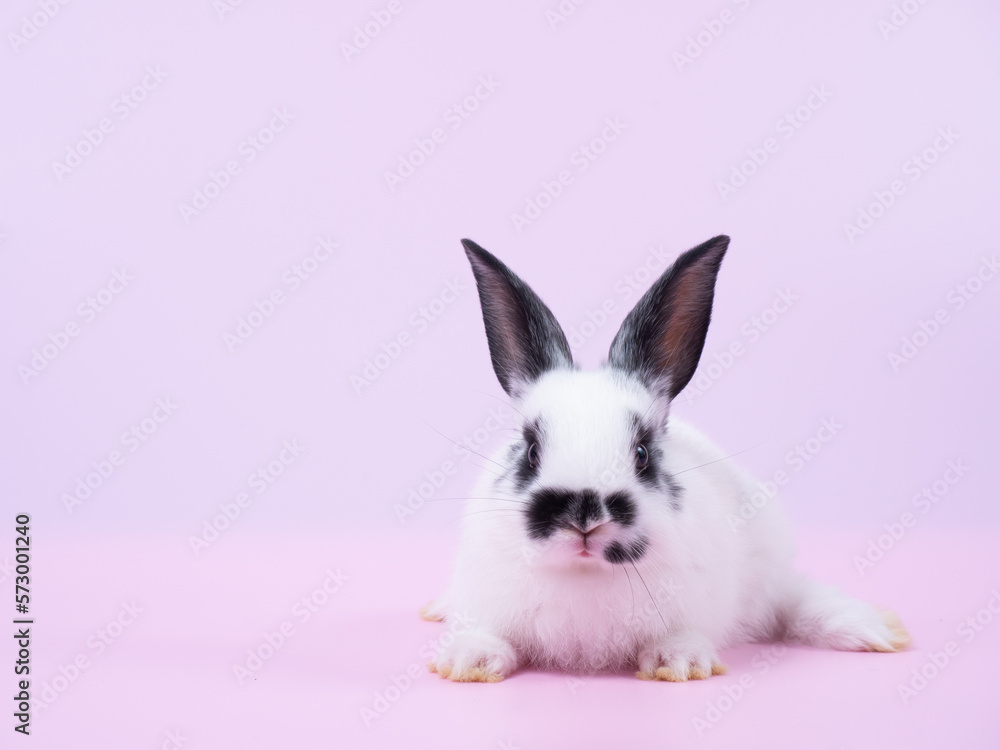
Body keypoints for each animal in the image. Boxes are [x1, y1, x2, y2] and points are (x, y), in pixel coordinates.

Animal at [422, 235, 910, 683]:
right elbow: (488, 634)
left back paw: (876, 631)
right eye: (531, 451)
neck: (586, 574)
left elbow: (681, 636)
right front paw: (468, 663)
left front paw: (680, 664)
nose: (583, 513)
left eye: (641, 453)